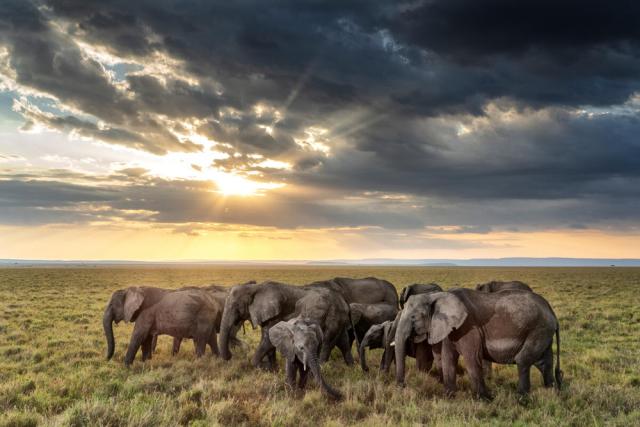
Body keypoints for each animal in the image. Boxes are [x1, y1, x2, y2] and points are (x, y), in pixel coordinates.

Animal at [219, 281, 353, 369]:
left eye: (236, 306)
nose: (231, 356)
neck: (254, 288)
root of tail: (344, 301)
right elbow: (269, 339)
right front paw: (272, 369)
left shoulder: (276, 314)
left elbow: (267, 339)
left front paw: (257, 365)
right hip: (339, 318)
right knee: (343, 342)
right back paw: (352, 367)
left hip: (333, 315)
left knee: (327, 342)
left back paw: (321, 367)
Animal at [395, 289, 562, 399]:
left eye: (414, 317)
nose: (402, 387)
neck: (436, 295)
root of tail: (551, 311)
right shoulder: (451, 328)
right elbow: (448, 359)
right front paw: (449, 398)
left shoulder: (468, 327)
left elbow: (472, 359)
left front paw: (485, 400)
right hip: (543, 332)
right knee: (544, 362)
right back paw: (553, 394)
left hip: (538, 329)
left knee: (523, 360)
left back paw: (520, 399)